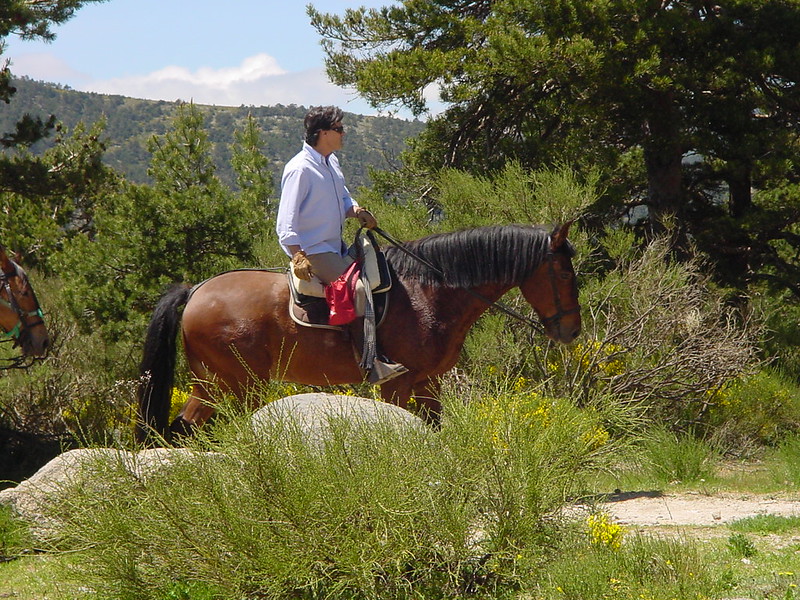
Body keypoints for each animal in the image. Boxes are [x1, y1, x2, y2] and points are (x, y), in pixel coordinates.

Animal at [134, 223, 580, 442]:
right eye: (562, 272)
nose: (571, 330)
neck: (427, 291)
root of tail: (196, 290)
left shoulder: (428, 383)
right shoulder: (397, 384)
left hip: (217, 385)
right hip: (232, 385)